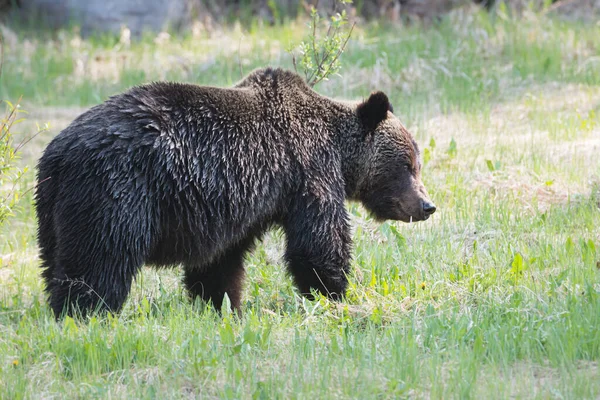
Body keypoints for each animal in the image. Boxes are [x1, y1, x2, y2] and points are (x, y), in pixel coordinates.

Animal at [34, 69, 436, 318]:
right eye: (408, 164)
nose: (427, 205)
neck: (337, 149)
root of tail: (59, 152)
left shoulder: (239, 204)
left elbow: (220, 261)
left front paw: (221, 304)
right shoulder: (308, 172)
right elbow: (318, 241)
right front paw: (334, 292)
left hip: (54, 209)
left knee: (57, 260)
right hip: (117, 191)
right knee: (100, 259)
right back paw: (87, 312)